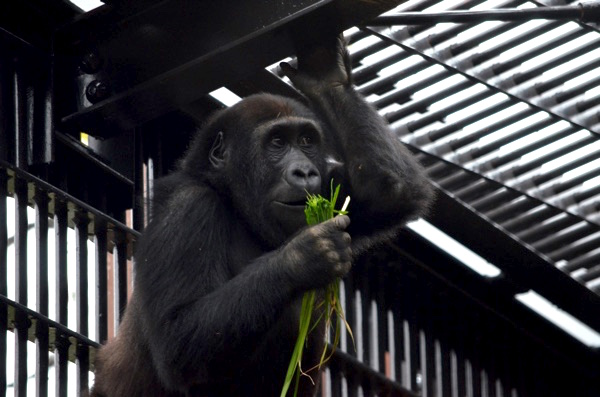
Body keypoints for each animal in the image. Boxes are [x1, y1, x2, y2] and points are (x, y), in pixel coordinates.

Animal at [91, 37, 434, 396]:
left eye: (306, 140)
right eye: (278, 142)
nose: (305, 172)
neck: (236, 205)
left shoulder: (332, 183)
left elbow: (389, 192)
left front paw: (326, 75)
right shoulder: (187, 208)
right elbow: (178, 338)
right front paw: (303, 257)